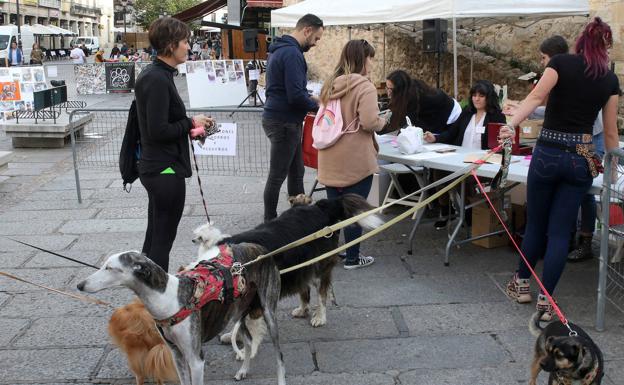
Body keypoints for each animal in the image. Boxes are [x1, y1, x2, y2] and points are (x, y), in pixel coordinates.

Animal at [78, 195, 380, 384]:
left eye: (110, 268)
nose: (80, 284)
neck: (170, 297)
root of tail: (321, 204)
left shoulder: (196, 358)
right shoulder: (177, 355)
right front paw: (236, 345)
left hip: (300, 280)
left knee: (317, 295)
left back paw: (317, 316)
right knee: (288, 302)